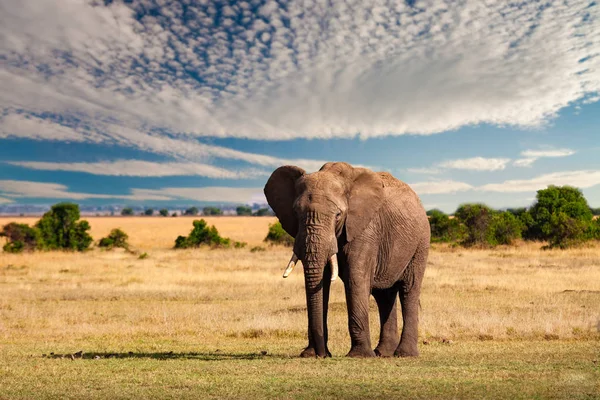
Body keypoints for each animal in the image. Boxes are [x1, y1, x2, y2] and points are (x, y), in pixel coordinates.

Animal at [264, 161, 428, 358]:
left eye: (338, 215)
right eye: (296, 213)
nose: (322, 354)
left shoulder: (365, 228)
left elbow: (355, 279)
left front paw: (360, 355)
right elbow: (322, 282)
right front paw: (310, 354)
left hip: (420, 243)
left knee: (409, 290)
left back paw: (404, 354)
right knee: (384, 296)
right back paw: (383, 353)